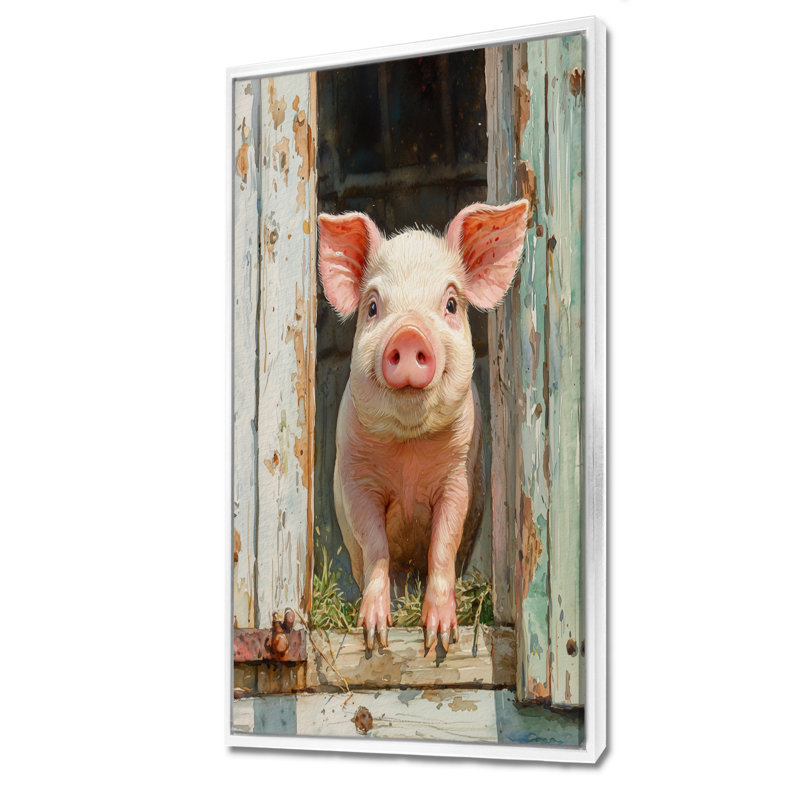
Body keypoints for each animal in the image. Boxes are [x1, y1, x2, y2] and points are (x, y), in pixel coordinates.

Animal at [318, 200, 529, 652]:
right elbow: (375, 545)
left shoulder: (459, 478)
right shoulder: (356, 480)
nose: (410, 334)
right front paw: (375, 635)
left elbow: (442, 545)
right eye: (373, 307)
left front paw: (440, 639)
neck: (408, 454)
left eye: (450, 304)